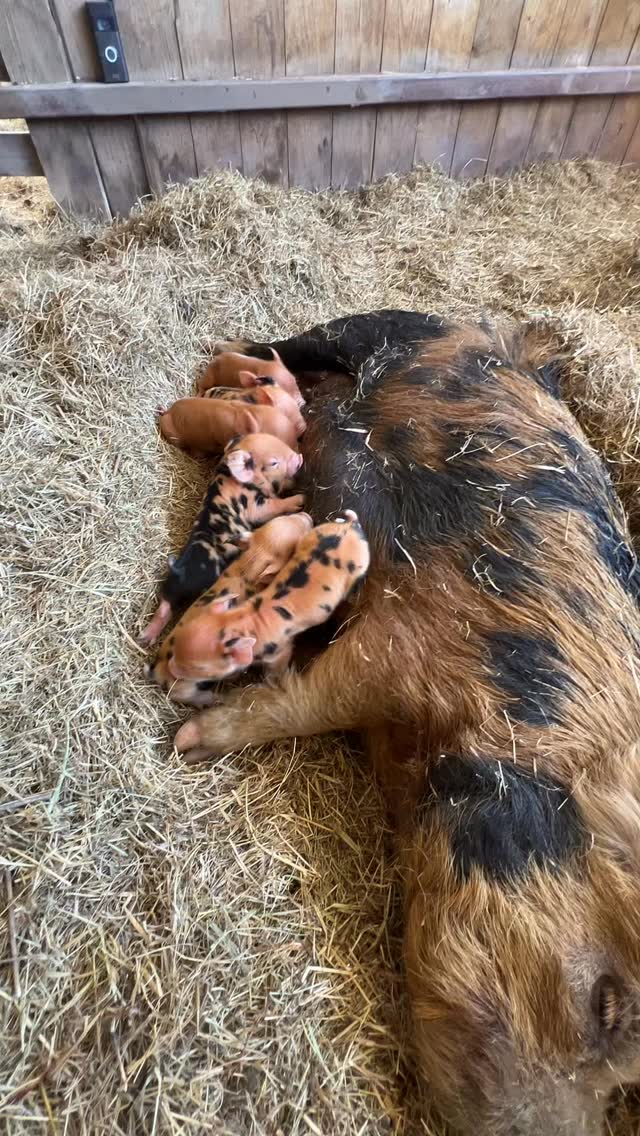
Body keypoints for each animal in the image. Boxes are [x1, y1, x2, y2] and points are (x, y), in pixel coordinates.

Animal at [141, 433, 304, 644]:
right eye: (273, 462)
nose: (299, 458)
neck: (231, 477)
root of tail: (179, 570)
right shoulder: (255, 505)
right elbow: (273, 506)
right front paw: (300, 499)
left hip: (169, 586)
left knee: (164, 606)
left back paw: (145, 637)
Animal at [145, 511, 314, 702]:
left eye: (283, 517)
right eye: (298, 542)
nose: (307, 514)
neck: (252, 562)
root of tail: (156, 671)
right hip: (186, 688)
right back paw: (217, 698)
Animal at [167, 510, 369, 685]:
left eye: (198, 669)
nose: (171, 668)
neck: (244, 621)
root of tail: (349, 526)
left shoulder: (281, 651)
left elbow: (276, 670)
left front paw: (275, 683)